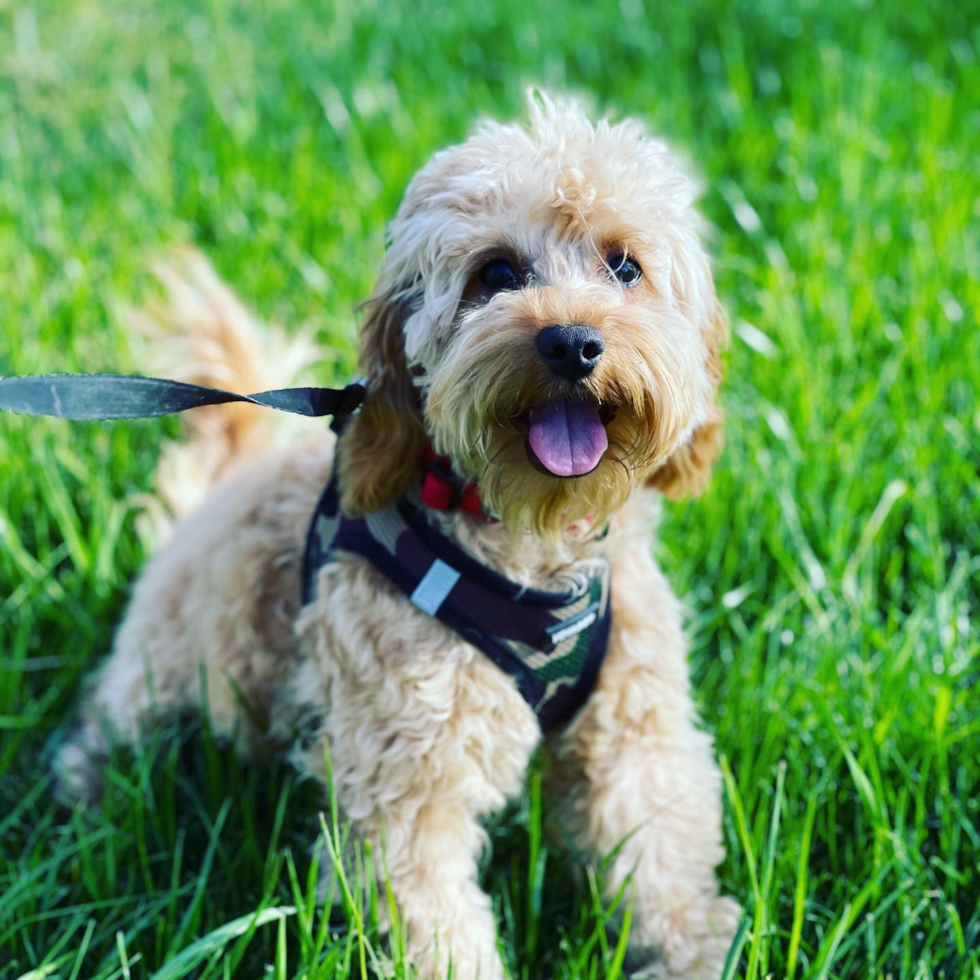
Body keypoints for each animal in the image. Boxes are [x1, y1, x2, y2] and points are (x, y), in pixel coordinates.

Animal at [57, 94, 740, 980]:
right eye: (496, 274)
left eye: (624, 267)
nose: (573, 343)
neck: (527, 542)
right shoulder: (408, 782)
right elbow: (434, 917)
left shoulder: (636, 739)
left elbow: (660, 862)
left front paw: (699, 953)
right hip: (168, 672)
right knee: (109, 731)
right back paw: (84, 801)